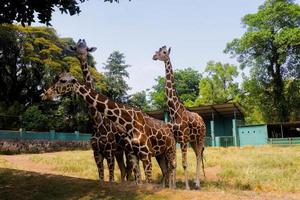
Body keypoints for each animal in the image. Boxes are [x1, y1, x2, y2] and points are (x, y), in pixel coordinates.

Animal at [42, 72, 176, 188]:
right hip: (159, 154)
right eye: (57, 78)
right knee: (165, 171)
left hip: (170, 150)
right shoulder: (132, 154)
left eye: (63, 81)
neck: (128, 121)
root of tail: (169, 128)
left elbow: (147, 181)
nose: (45, 94)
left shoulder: (145, 154)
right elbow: (136, 180)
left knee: (172, 168)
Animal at [68, 39, 129, 183]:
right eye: (76, 48)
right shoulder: (96, 152)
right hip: (119, 151)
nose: (81, 55)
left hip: (124, 150)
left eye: (87, 48)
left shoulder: (109, 151)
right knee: (124, 170)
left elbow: (111, 178)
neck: (97, 122)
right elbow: (101, 177)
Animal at [152, 45, 206, 191]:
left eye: (164, 52)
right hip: (193, 140)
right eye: (157, 50)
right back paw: (196, 182)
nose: (154, 56)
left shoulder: (183, 138)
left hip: (200, 137)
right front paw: (174, 186)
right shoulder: (176, 138)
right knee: (198, 155)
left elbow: (184, 163)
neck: (174, 111)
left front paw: (186, 187)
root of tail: (202, 120)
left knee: (199, 156)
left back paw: (197, 184)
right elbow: (174, 163)